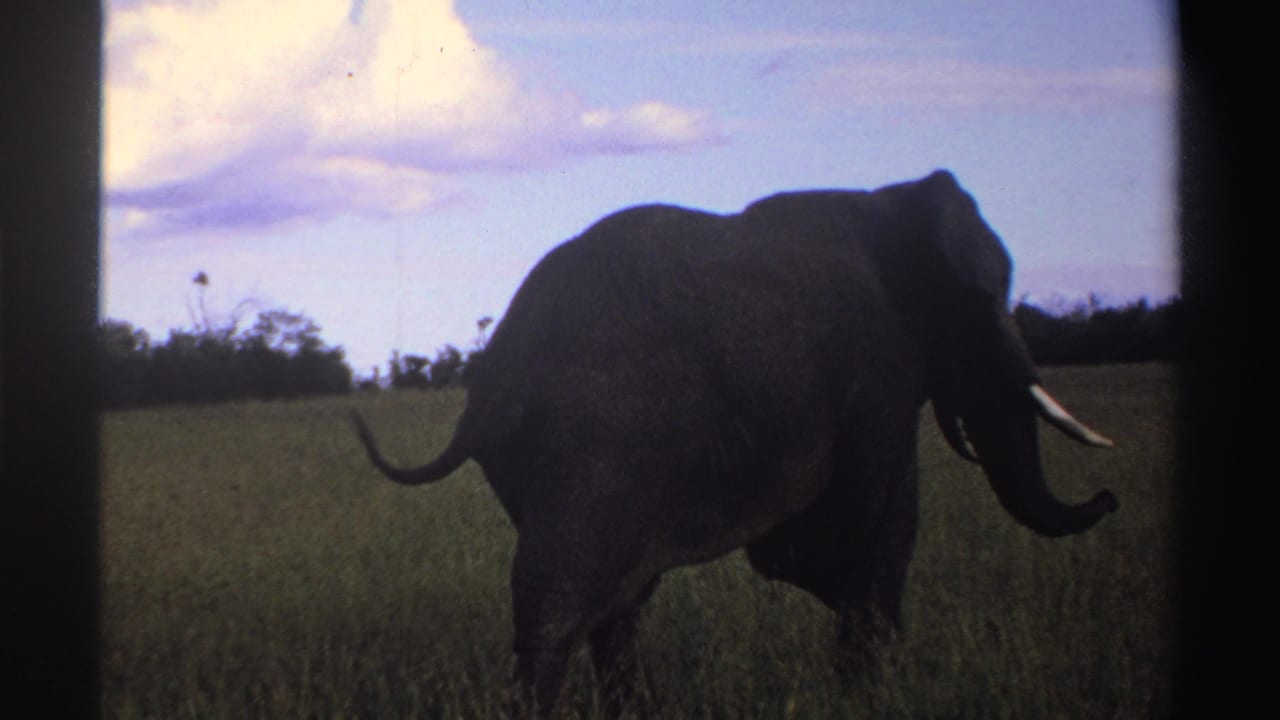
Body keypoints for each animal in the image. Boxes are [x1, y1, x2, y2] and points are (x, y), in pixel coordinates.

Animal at [352, 169, 1117, 716]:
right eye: (983, 300)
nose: (1109, 497)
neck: (890, 204)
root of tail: (494, 376)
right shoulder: (879, 369)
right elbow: (877, 519)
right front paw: (874, 685)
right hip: (596, 440)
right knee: (559, 600)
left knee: (612, 601)